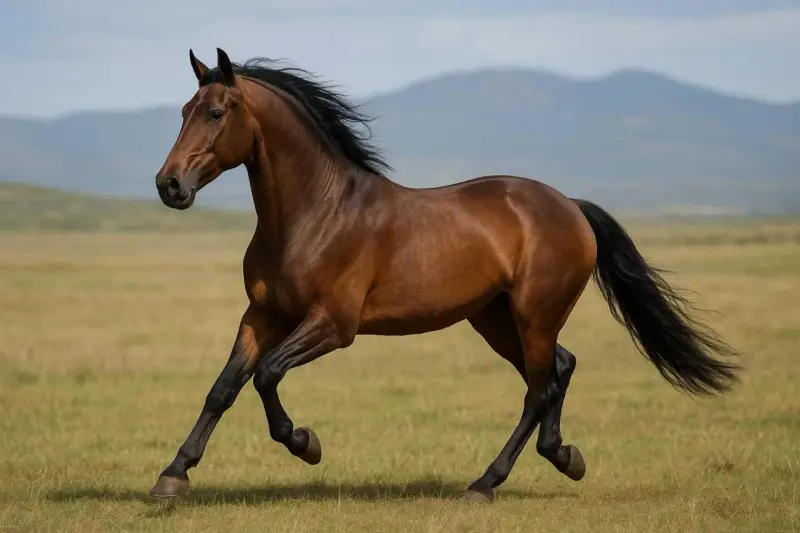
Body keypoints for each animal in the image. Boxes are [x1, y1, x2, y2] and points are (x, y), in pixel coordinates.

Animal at [149, 48, 740, 503]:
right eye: (183, 110)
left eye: (216, 112)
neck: (316, 213)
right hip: (497, 319)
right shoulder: (263, 313)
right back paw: (564, 456)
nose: (169, 185)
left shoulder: (334, 325)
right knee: (558, 369)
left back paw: (486, 483)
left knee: (539, 388)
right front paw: (172, 476)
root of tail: (570, 206)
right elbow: (225, 387)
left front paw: (306, 443)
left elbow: (267, 375)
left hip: (533, 315)